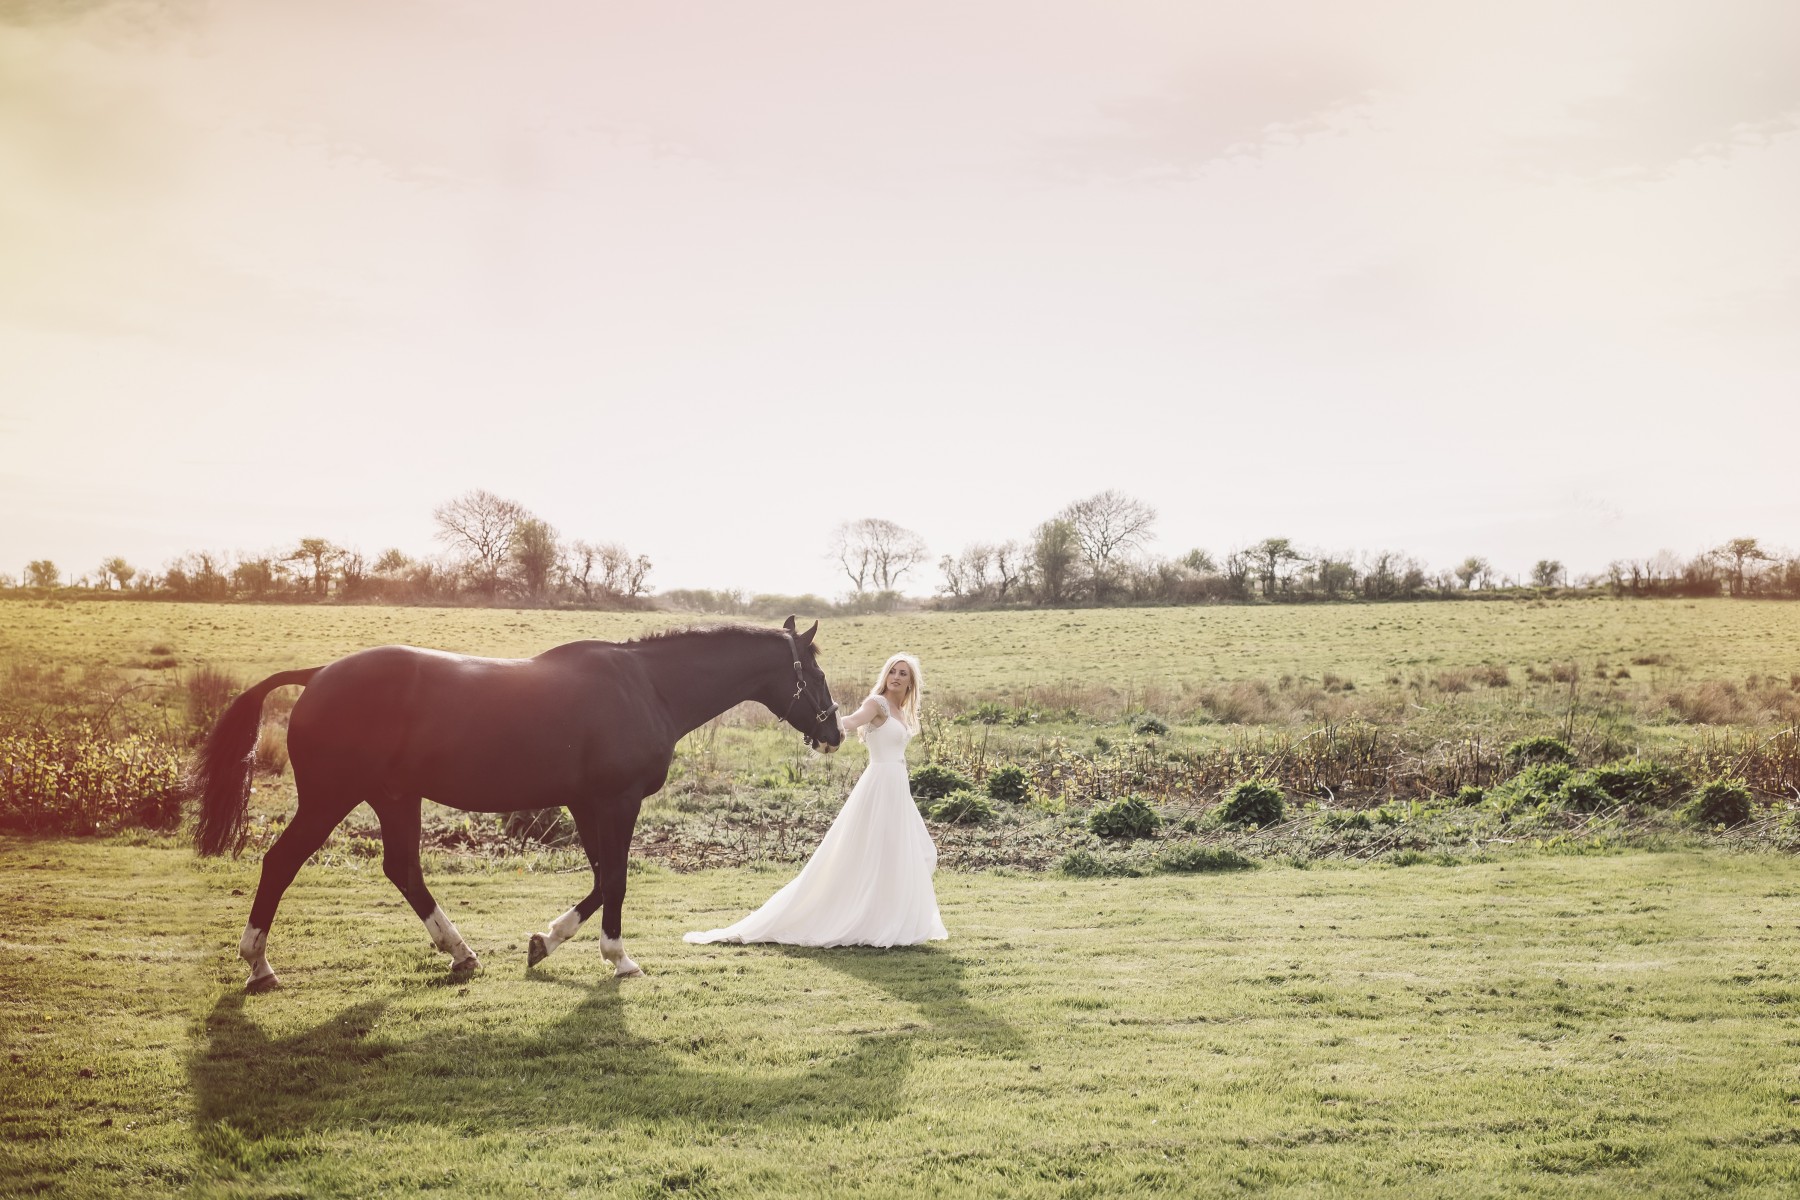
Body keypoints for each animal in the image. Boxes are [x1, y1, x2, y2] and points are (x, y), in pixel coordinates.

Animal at [191, 615, 842, 993]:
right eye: (816, 671)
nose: (836, 731)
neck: (646, 686)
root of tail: (320, 674)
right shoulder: (616, 802)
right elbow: (616, 879)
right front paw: (617, 956)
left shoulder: (585, 805)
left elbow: (601, 878)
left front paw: (545, 942)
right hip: (331, 799)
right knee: (281, 863)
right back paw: (259, 965)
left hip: (395, 798)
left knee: (403, 869)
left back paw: (460, 954)